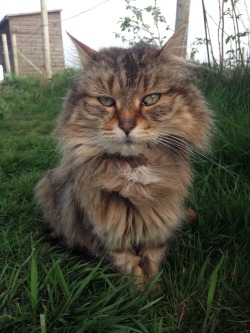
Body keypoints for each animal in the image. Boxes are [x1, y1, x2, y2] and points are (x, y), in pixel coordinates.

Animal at [34, 26, 211, 286]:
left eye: (151, 99)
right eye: (106, 101)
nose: (127, 126)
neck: (135, 171)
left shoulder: (158, 226)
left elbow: (152, 261)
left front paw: (155, 289)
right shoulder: (111, 233)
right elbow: (130, 268)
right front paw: (140, 292)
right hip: (48, 186)